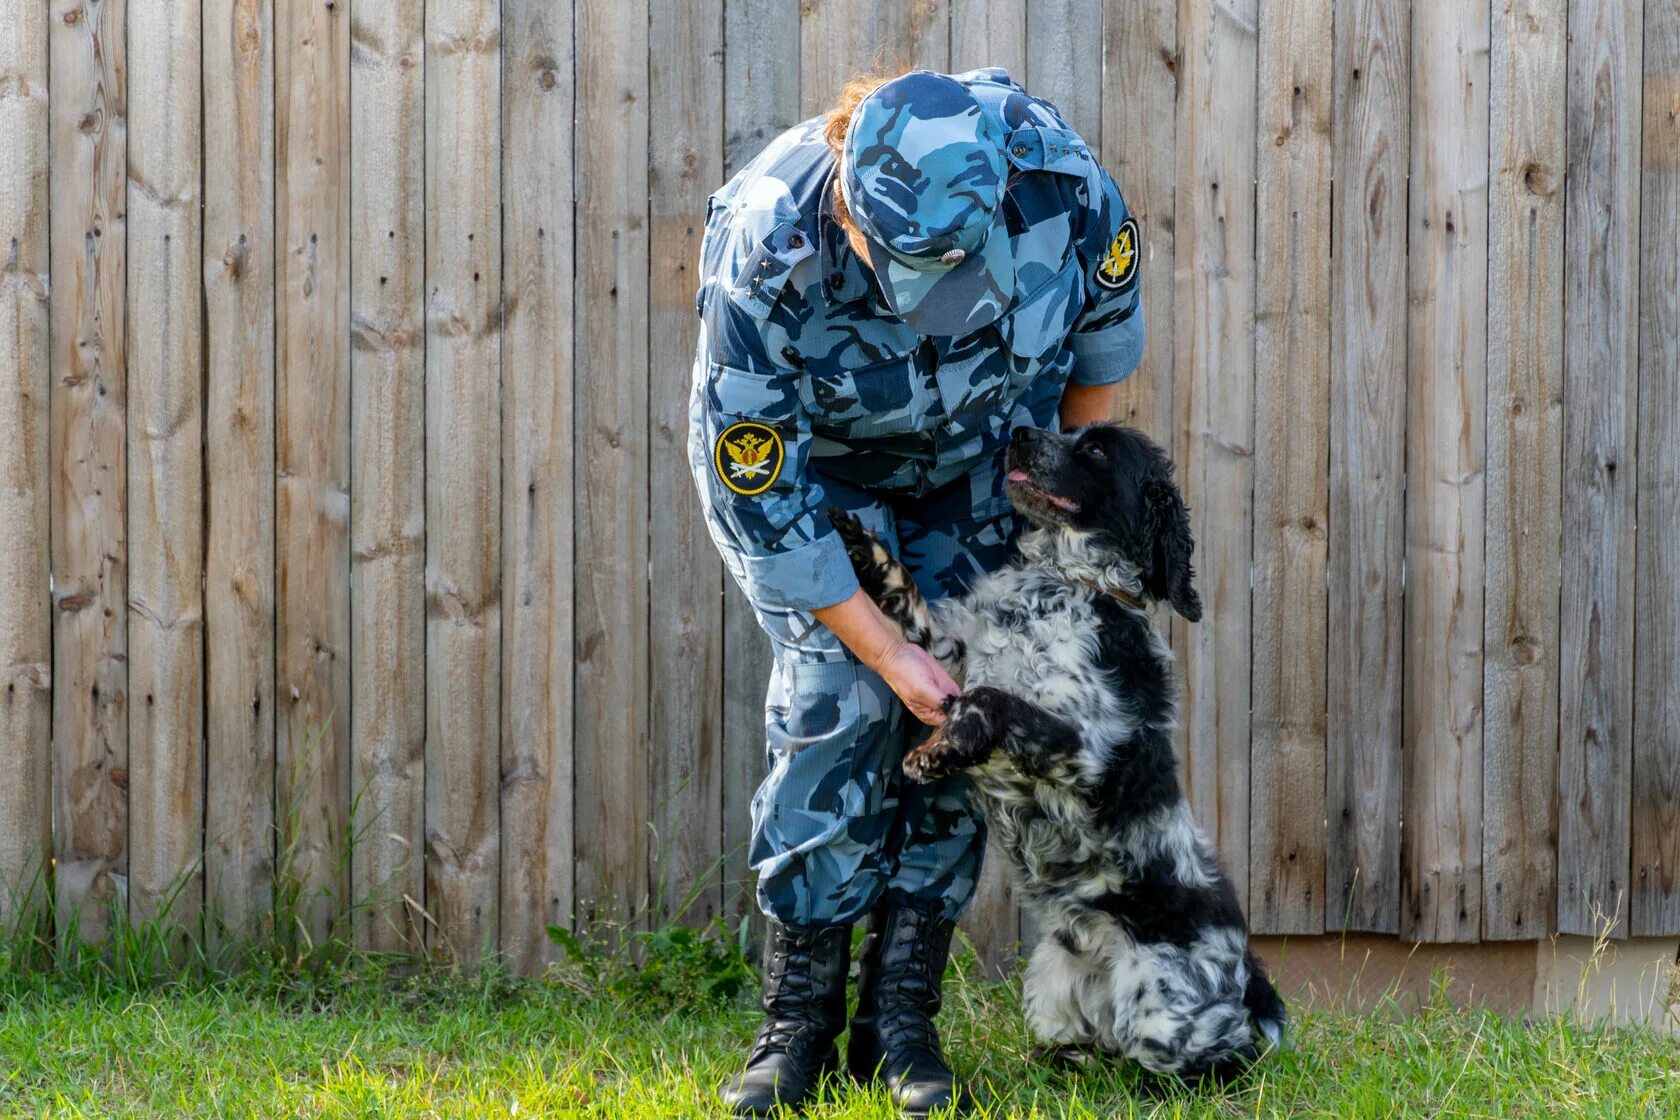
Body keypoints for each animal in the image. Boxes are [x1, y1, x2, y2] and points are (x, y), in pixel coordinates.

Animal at [829, 423, 1283, 1088]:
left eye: (1094, 448)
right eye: (1067, 432)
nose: (1019, 433)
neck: (1063, 585)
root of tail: (1248, 972)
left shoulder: (1084, 749)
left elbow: (991, 701)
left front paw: (935, 753)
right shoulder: (952, 657)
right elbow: (913, 609)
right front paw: (855, 538)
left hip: (1163, 1017)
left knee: (1226, 1053)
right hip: (1051, 977)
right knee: (1094, 1041)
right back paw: (1058, 1063)